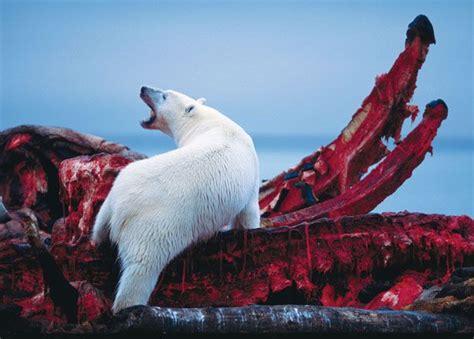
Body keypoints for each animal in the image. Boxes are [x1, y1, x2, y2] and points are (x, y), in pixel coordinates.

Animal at [90, 86, 262, 314]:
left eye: (164, 95)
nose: (143, 88)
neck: (208, 123)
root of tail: (123, 207)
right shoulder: (251, 181)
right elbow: (248, 213)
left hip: (114, 193)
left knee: (99, 227)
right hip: (156, 226)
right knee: (142, 268)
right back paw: (128, 306)